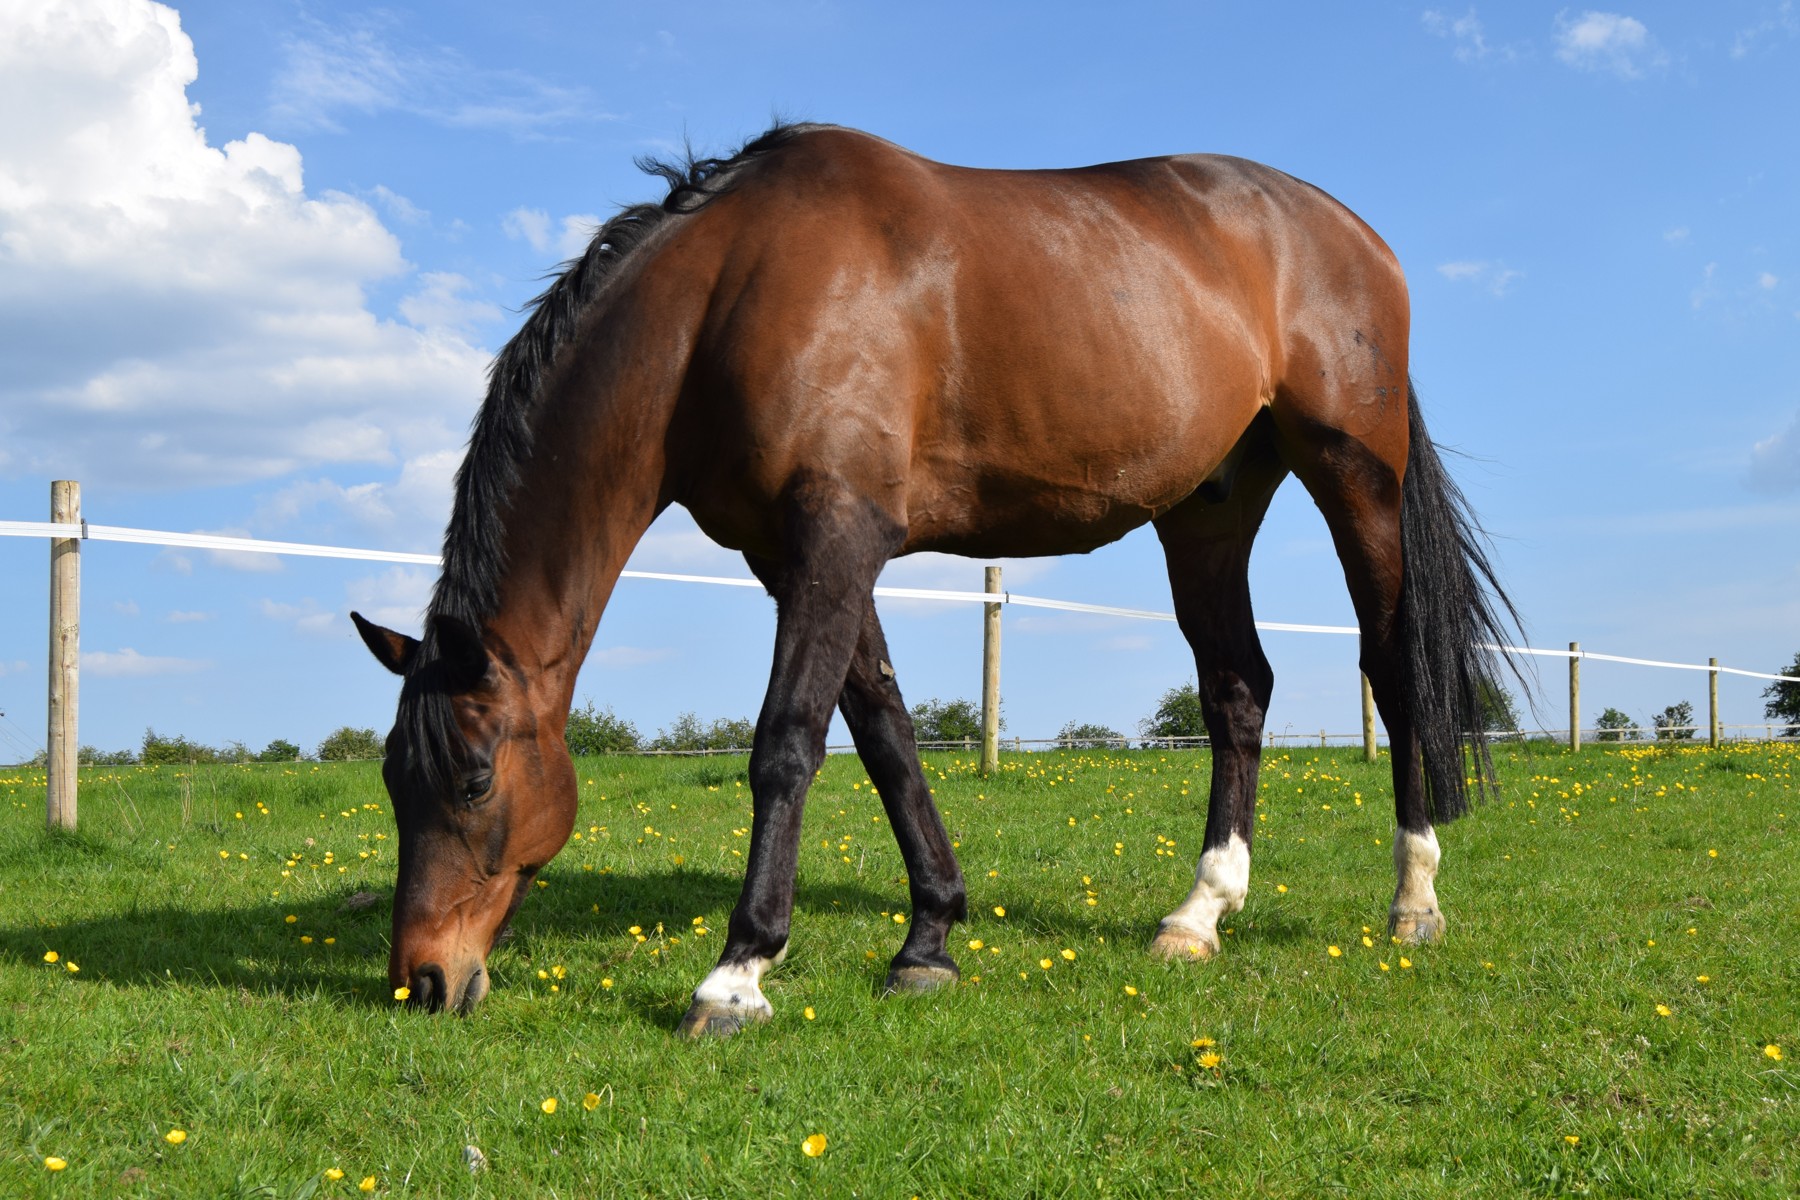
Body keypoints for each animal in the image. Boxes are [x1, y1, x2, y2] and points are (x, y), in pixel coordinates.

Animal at [351, 122, 1517, 1034]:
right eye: (394, 782)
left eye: (471, 780)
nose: (425, 980)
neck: (728, 296)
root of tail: (1352, 233)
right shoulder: (803, 556)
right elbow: (885, 738)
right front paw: (929, 940)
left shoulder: (835, 537)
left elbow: (787, 746)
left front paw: (737, 974)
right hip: (1209, 508)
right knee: (1239, 690)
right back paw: (1198, 915)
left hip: (1354, 477)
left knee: (1395, 669)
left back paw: (1414, 903)